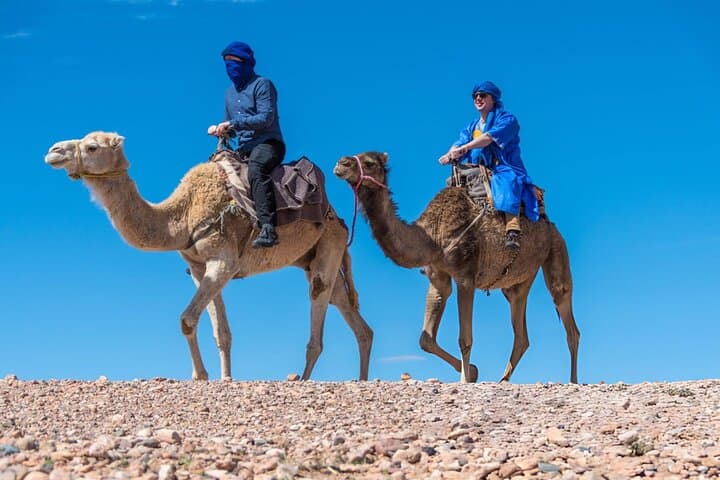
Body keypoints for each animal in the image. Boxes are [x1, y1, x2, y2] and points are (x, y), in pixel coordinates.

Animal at [44, 131, 373, 381]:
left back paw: (303, 379)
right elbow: (221, 331)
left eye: (92, 146)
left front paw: (201, 376)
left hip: (329, 242)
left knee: (319, 301)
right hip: (314, 256)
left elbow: (187, 319)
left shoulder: (223, 261)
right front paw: (224, 378)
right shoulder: (200, 268)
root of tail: (338, 218)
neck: (182, 216)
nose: (52, 151)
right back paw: (361, 378)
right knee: (346, 307)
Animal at [334, 152, 579, 383]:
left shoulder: (466, 275)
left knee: (568, 317)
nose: (341, 164)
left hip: (556, 251)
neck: (431, 235)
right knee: (521, 334)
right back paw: (502, 380)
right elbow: (426, 339)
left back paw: (573, 381)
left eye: (369, 163)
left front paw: (465, 379)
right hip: (516, 284)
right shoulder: (438, 276)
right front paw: (473, 372)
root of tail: (549, 224)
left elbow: (465, 339)